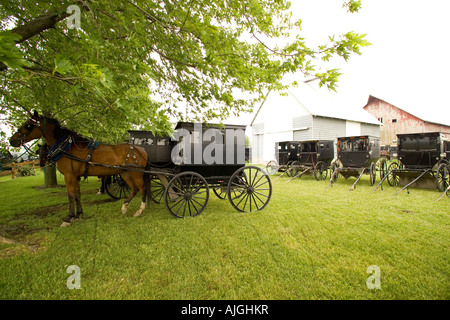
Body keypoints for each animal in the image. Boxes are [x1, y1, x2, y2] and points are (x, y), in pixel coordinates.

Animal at [10, 111, 151, 226]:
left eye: (28, 125)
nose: (12, 140)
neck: (67, 147)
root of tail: (141, 149)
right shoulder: (76, 176)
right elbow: (78, 194)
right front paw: (78, 214)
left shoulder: (69, 175)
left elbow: (71, 195)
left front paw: (68, 218)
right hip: (125, 173)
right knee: (134, 189)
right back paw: (124, 207)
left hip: (136, 173)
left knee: (142, 188)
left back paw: (140, 210)